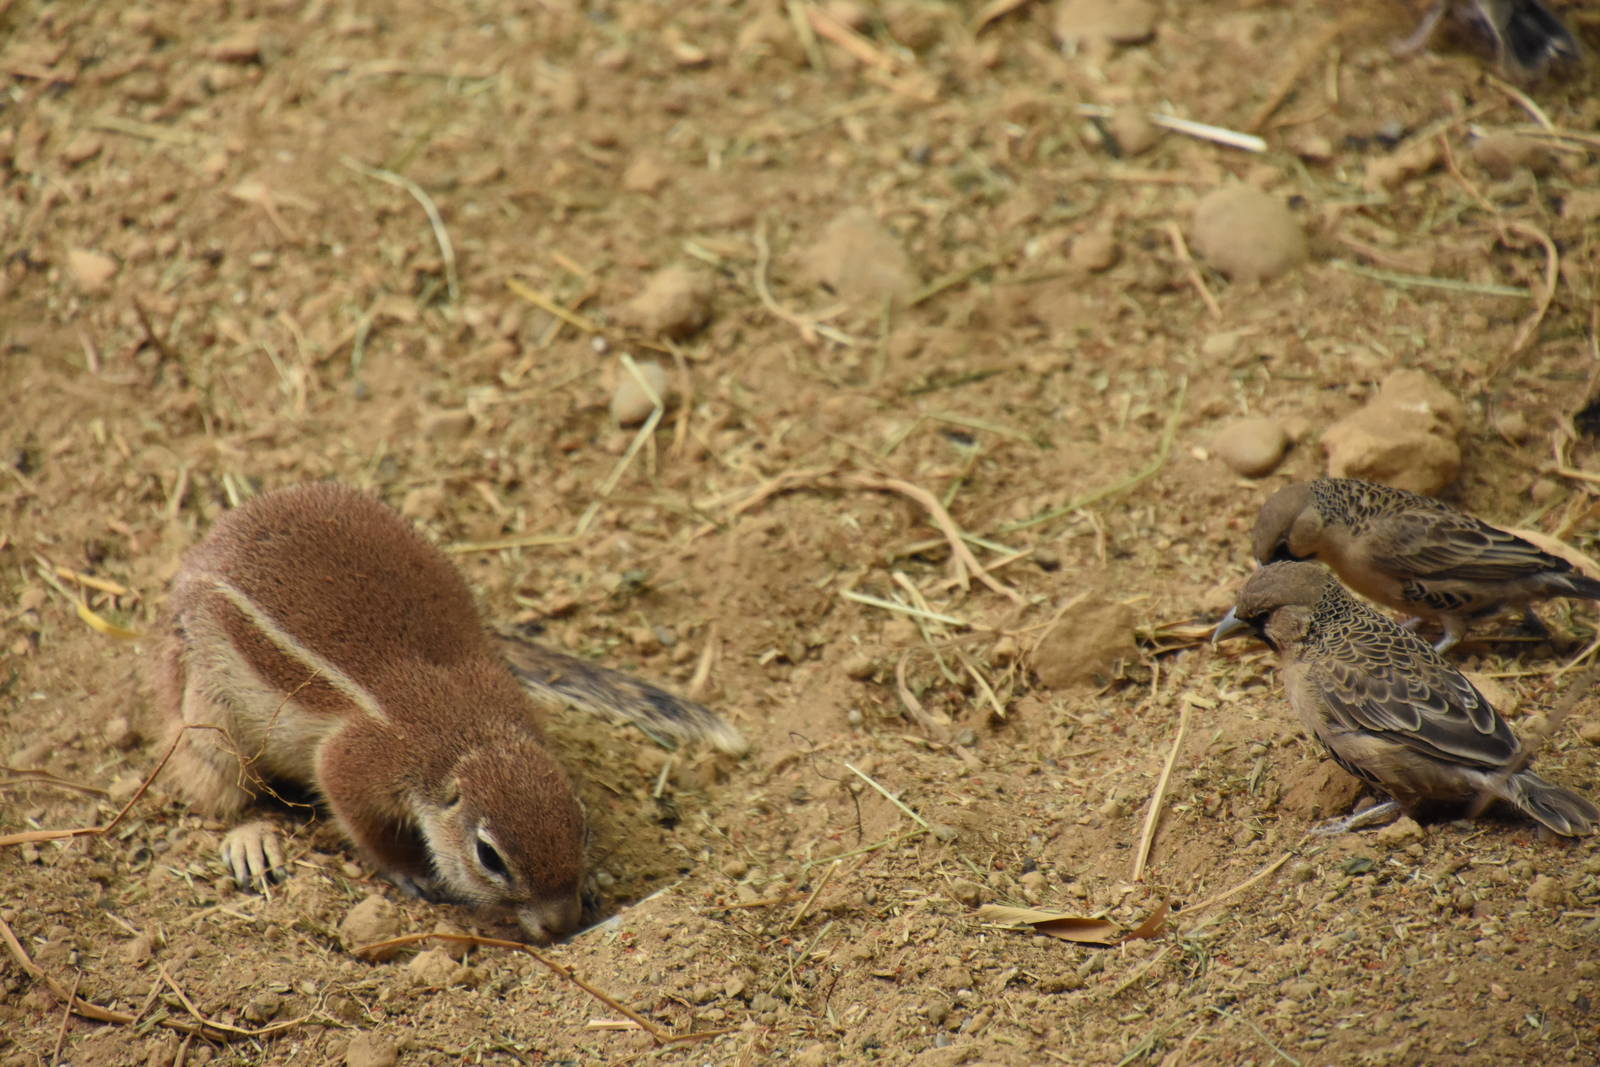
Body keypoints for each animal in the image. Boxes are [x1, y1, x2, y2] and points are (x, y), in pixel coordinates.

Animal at [149, 482, 745, 942]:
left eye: (582, 827)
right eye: (490, 857)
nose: (562, 926)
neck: (474, 738)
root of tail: (201, 553)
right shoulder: (357, 762)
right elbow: (361, 820)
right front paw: (413, 872)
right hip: (206, 704)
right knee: (217, 784)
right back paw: (251, 839)